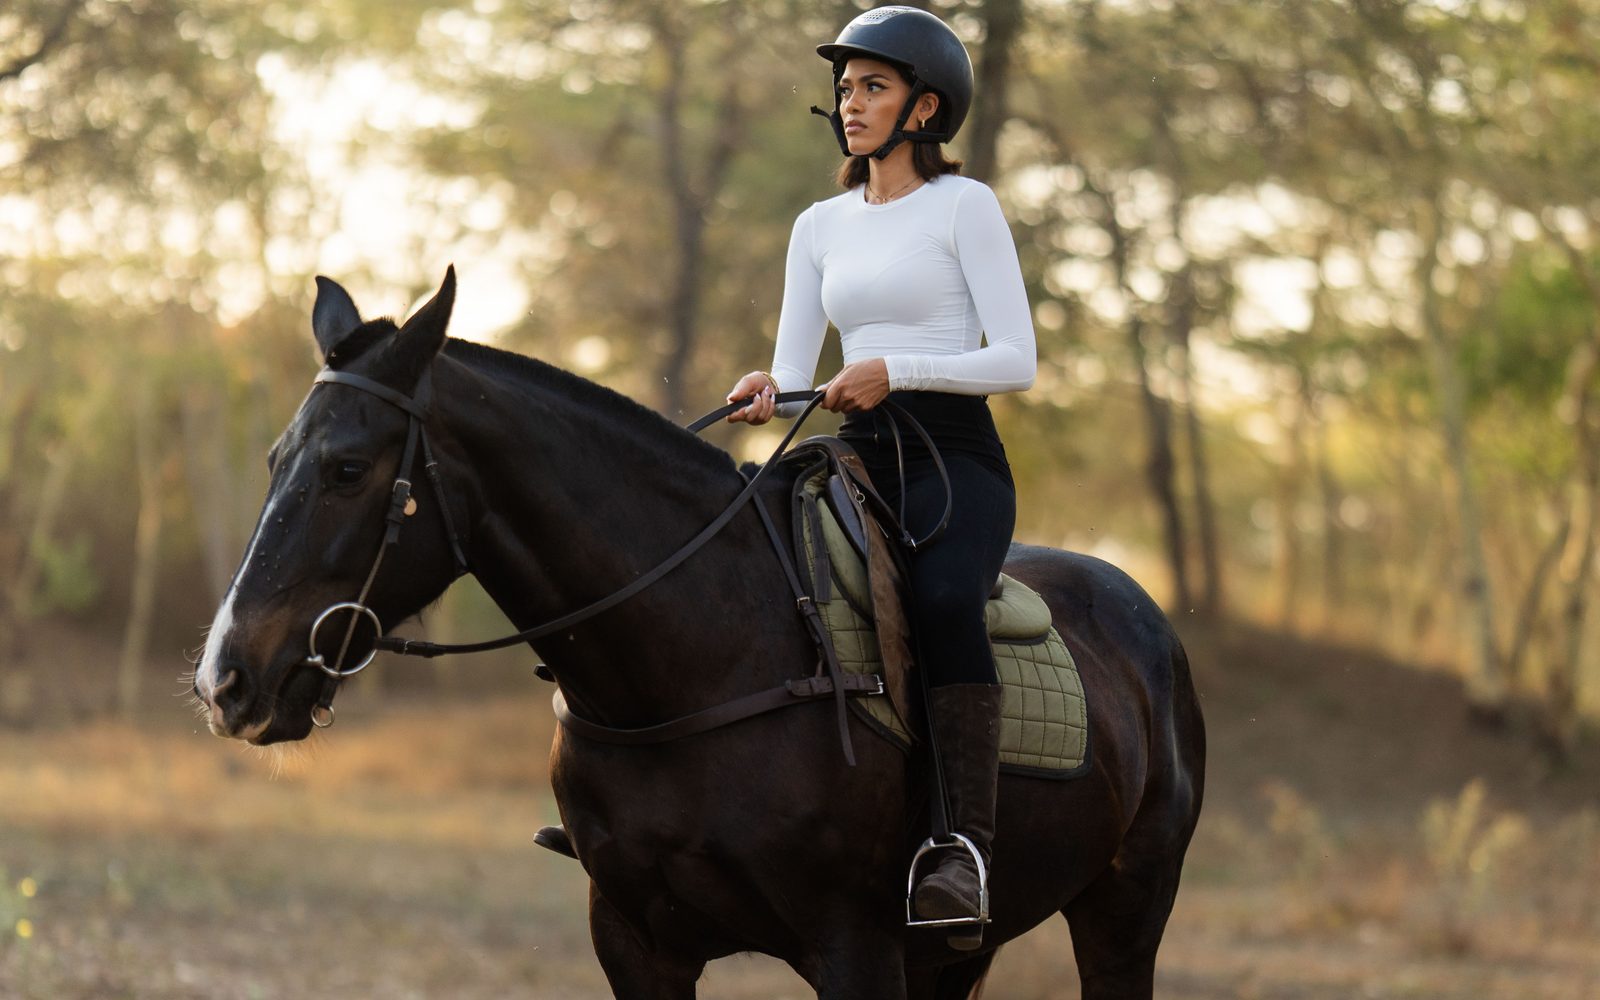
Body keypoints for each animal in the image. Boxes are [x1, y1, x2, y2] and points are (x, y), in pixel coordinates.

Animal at [193, 268, 1206, 999]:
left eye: (348, 469)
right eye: (278, 458)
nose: (225, 681)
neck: (696, 664)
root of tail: (1141, 614)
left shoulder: (857, 948)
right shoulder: (638, 943)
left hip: (1124, 913)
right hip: (964, 953)